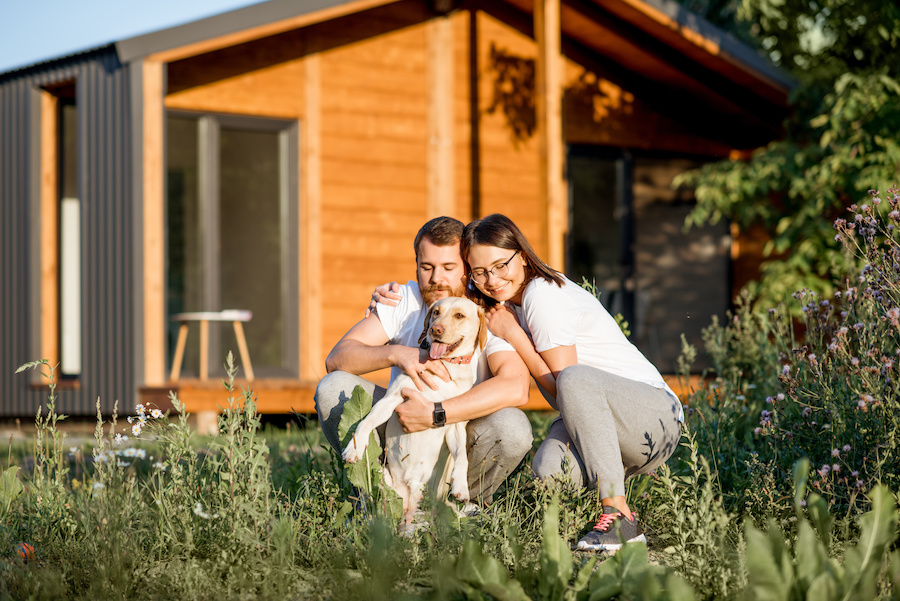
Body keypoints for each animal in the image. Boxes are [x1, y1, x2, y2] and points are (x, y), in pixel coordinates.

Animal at [342, 296, 486, 528]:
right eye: (436, 312)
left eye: (459, 315)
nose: (435, 329)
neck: (444, 365)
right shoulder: (391, 400)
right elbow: (366, 422)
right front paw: (354, 449)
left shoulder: (454, 425)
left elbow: (462, 456)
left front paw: (461, 486)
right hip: (380, 479)